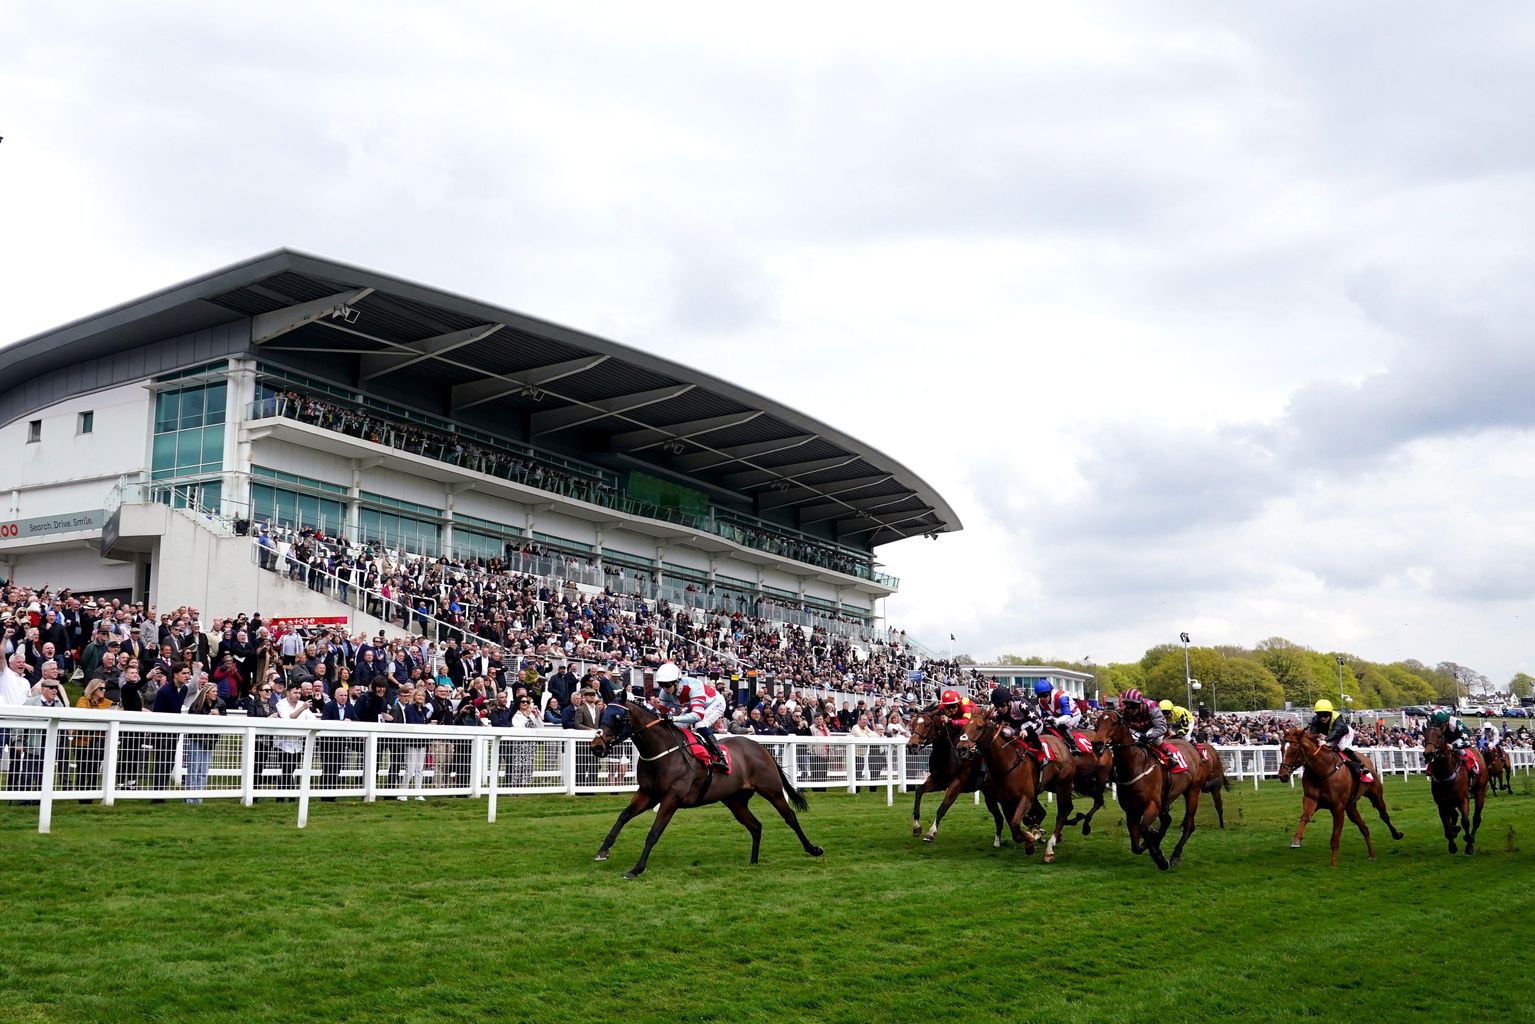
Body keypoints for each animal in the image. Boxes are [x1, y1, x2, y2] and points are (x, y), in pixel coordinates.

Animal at [589, 706, 828, 884]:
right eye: (602, 713)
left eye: (616, 717)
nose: (596, 747)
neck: (663, 753)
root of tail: (761, 748)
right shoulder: (648, 795)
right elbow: (623, 816)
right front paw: (602, 851)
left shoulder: (671, 798)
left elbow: (654, 833)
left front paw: (636, 869)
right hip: (735, 801)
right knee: (755, 826)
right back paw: (753, 861)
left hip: (772, 790)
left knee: (790, 817)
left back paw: (813, 849)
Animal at [1092, 712, 1209, 872]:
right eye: (1096, 724)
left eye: (1114, 723)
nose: (1097, 744)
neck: (1135, 765)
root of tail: (1192, 746)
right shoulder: (1131, 810)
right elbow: (1136, 845)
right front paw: (1153, 843)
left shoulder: (1152, 804)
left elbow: (1143, 828)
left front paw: (1160, 859)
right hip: (1165, 800)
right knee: (1167, 820)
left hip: (1192, 791)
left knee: (1188, 826)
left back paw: (1176, 855)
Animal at [1277, 727, 1399, 865]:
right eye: (1282, 748)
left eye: (1294, 749)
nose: (1282, 775)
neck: (1322, 770)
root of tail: (1367, 760)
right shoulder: (1311, 799)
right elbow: (1305, 817)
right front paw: (1296, 840)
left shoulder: (1338, 807)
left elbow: (1335, 837)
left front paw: (1333, 864)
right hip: (1351, 807)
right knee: (1364, 828)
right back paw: (1371, 855)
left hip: (1376, 796)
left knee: (1384, 815)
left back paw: (1396, 834)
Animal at [1418, 727, 1479, 859]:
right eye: (1424, 736)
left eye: (1440, 736)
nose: (1428, 754)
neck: (1445, 772)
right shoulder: (1441, 803)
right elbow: (1447, 825)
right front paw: (1452, 846)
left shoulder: (1462, 799)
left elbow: (1465, 821)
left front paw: (1469, 844)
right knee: (1454, 816)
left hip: (1479, 792)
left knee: (1476, 818)